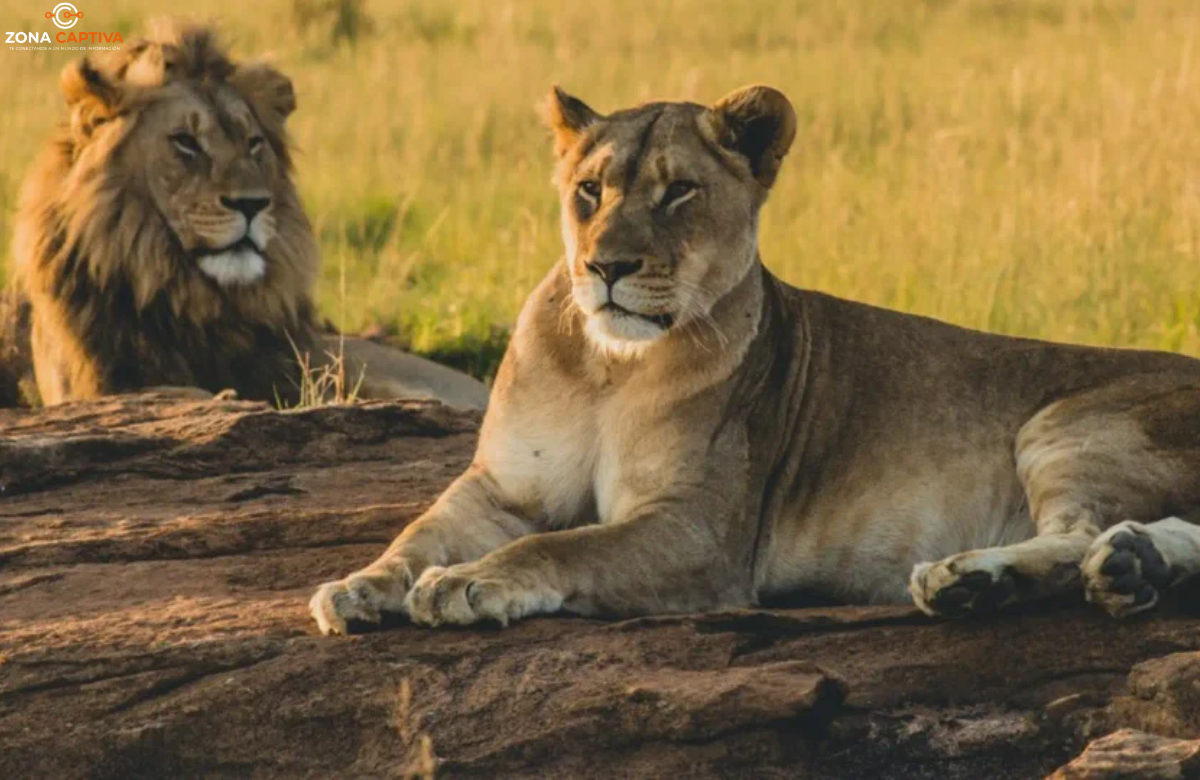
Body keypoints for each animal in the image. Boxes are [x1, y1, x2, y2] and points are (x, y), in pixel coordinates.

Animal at [312, 85, 1200, 633]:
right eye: (590, 190)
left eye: (679, 192)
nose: (606, 267)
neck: (611, 369)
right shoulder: (502, 486)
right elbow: (420, 531)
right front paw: (359, 587)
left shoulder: (701, 531)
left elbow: (561, 547)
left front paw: (469, 583)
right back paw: (1121, 569)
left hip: (1066, 424)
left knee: (1081, 530)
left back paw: (984, 577)